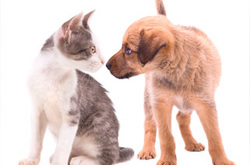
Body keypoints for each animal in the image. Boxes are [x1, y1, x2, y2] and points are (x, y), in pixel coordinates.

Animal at [18, 10, 134, 165]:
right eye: (92, 49)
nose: (103, 61)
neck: (52, 76)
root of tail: (117, 148)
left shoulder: (72, 113)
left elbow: (64, 145)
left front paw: (58, 162)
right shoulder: (37, 110)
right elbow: (36, 140)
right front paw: (31, 159)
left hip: (98, 123)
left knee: (108, 158)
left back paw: (83, 159)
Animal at [106, 0, 234, 165]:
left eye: (128, 50)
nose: (106, 65)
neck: (175, 69)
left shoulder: (205, 104)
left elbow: (215, 136)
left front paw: (222, 160)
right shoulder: (161, 104)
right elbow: (166, 137)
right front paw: (167, 159)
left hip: (188, 102)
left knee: (181, 118)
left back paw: (191, 143)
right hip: (150, 99)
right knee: (150, 125)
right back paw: (147, 150)